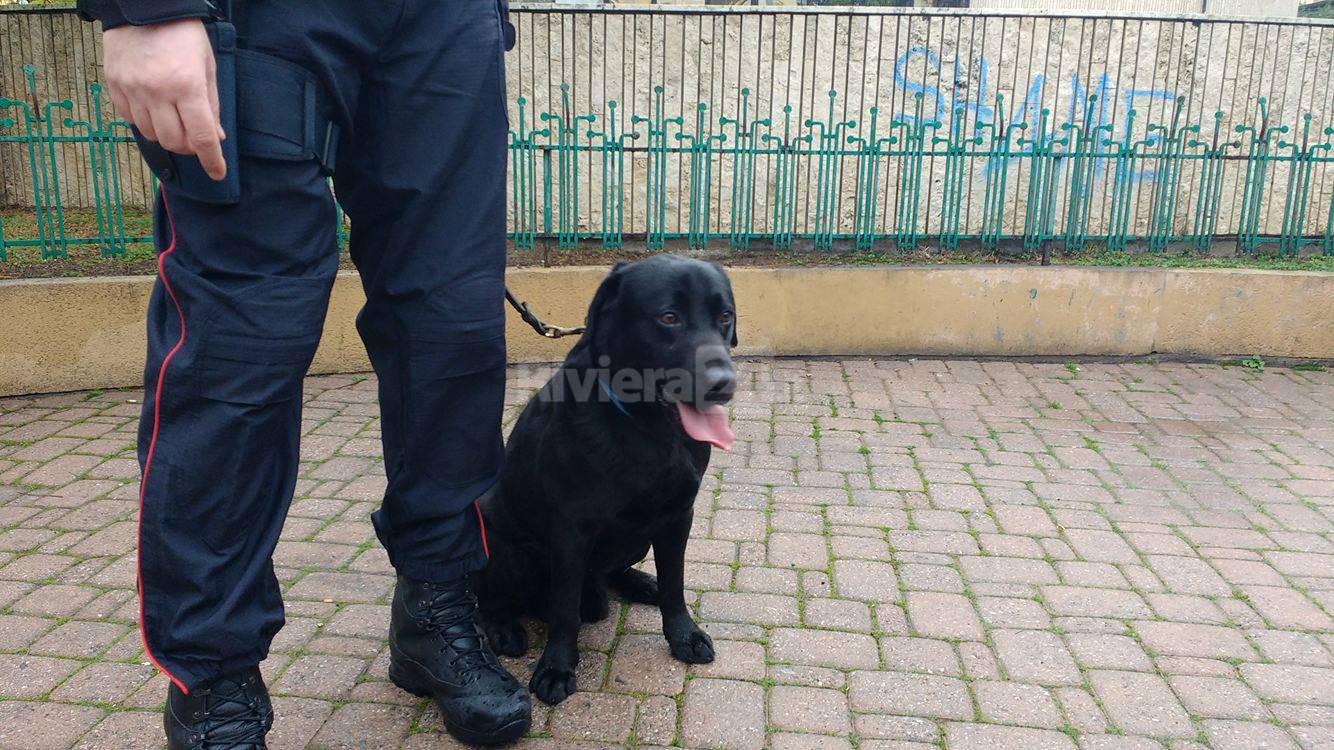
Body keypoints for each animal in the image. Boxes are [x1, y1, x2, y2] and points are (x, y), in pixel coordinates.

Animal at [472, 253, 741, 704]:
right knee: (489, 599)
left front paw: (683, 635)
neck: (646, 428)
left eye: (725, 317)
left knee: (611, 572)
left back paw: (640, 583)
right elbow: (564, 608)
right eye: (669, 317)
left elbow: (675, 583)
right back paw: (505, 628)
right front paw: (557, 668)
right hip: (495, 541)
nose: (724, 385)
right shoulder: (571, 529)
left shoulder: (678, 515)